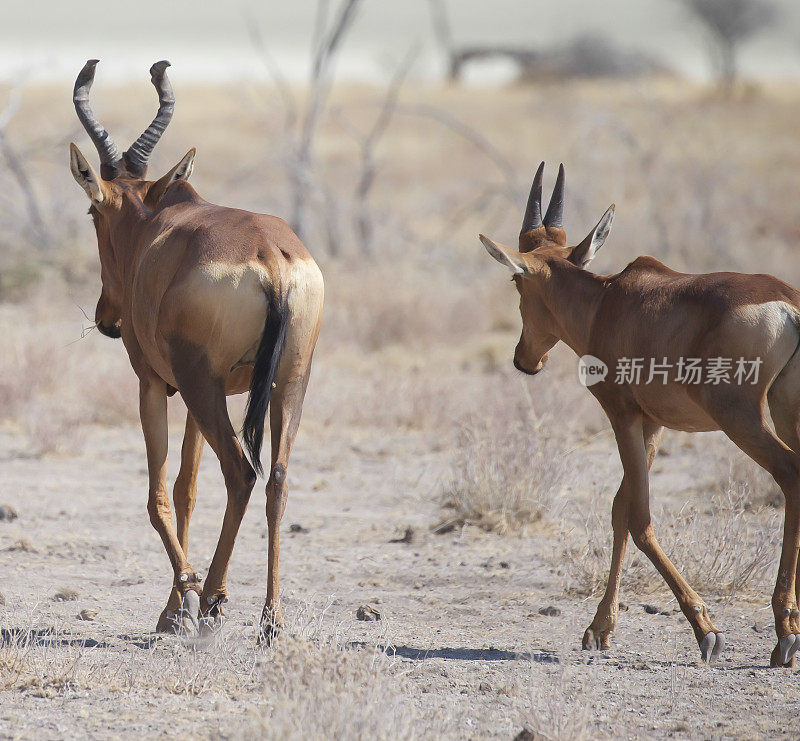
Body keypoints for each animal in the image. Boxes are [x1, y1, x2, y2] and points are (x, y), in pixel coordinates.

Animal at [66, 60, 322, 640]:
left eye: (94, 216)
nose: (107, 319)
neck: (156, 227)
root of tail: (270, 257)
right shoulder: (206, 392)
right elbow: (187, 488)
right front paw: (175, 607)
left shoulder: (157, 384)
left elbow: (160, 493)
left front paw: (182, 600)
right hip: (287, 382)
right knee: (275, 479)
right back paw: (270, 620)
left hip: (203, 386)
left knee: (241, 473)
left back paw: (210, 603)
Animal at [482, 165, 800, 668]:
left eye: (516, 282)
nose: (524, 359)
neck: (608, 300)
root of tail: (786, 304)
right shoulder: (653, 424)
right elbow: (620, 508)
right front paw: (599, 629)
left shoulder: (623, 415)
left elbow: (638, 517)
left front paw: (706, 631)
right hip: (786, 406)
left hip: (741, 416)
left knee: (789, 472)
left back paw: (784, 634)